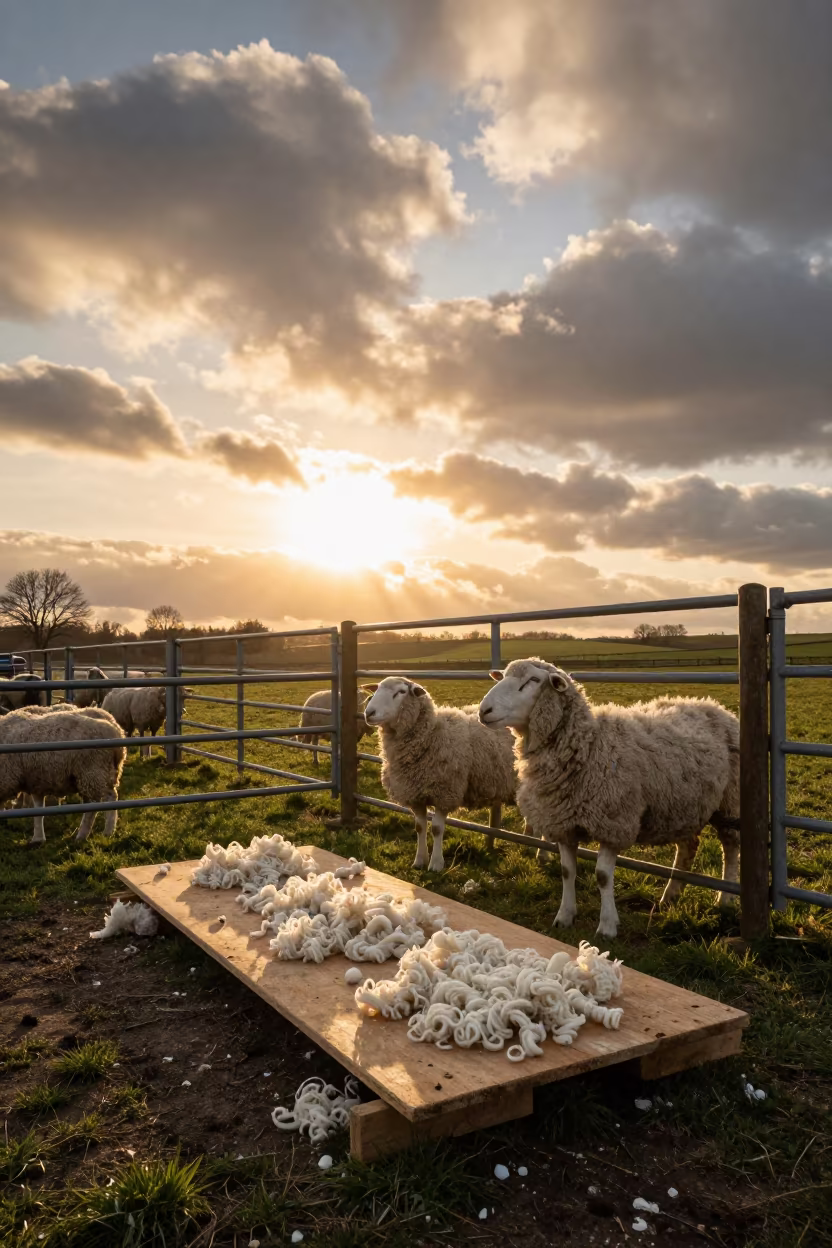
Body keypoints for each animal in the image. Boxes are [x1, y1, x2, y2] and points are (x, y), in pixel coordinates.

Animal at [0, 706, 126, 843]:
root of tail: (116, 729)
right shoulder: (36, 781)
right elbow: (38, 810)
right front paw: (38, 838)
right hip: (98, 773)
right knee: (104, 799)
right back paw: (103, 832)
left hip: (92, 771)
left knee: (98, 803)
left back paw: (92, 834)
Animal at [362, 676, 519, 872]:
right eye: (376, 689)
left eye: (401, 692)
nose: (368, 712)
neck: (431, 733)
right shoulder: (415, 795)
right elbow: (419, 827)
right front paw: (419, 860)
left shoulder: (445, 794)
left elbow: (436, 829)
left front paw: (436, 864)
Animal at [478, 658, 740, 938]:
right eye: (503, 676)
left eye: (534, 681)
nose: (484, 710)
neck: (589, 745)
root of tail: (713, 704)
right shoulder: (564, 823)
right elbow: (567, 871)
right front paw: (564, 916)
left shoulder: (613, 823)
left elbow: (603, 876)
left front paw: (607, 926)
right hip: (683, 807)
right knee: (689, 846)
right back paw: (670, 895)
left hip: (729, 804)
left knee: (730, 848)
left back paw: (725, 899)